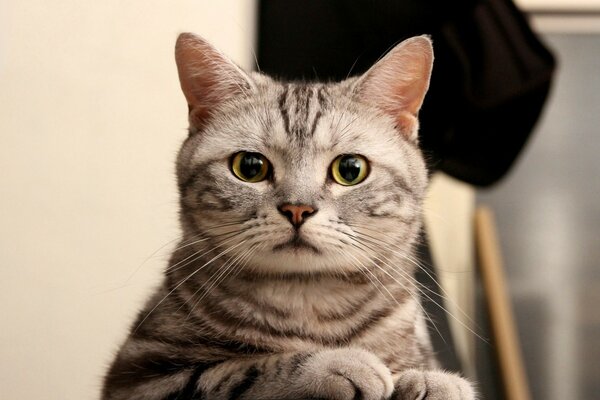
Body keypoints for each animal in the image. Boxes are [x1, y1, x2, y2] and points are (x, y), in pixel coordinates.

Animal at [103, 32, 478, 400]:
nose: (297, 208)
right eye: (250, 167)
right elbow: (243, 370)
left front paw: (435, 381)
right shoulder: (140, 376)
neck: (307, 299)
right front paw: (335, 362)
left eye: (350, 169)